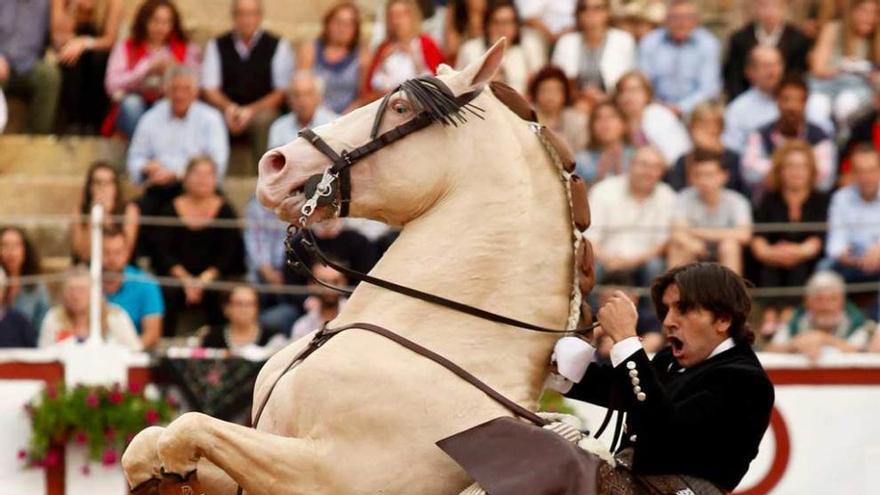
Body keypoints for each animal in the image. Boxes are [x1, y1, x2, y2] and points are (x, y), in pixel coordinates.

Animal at [120, 39, 588, 495]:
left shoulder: (323, 474)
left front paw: (174, 466)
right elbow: (146, 442)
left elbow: (187, 428)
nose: (274, 165)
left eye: (400, 107)